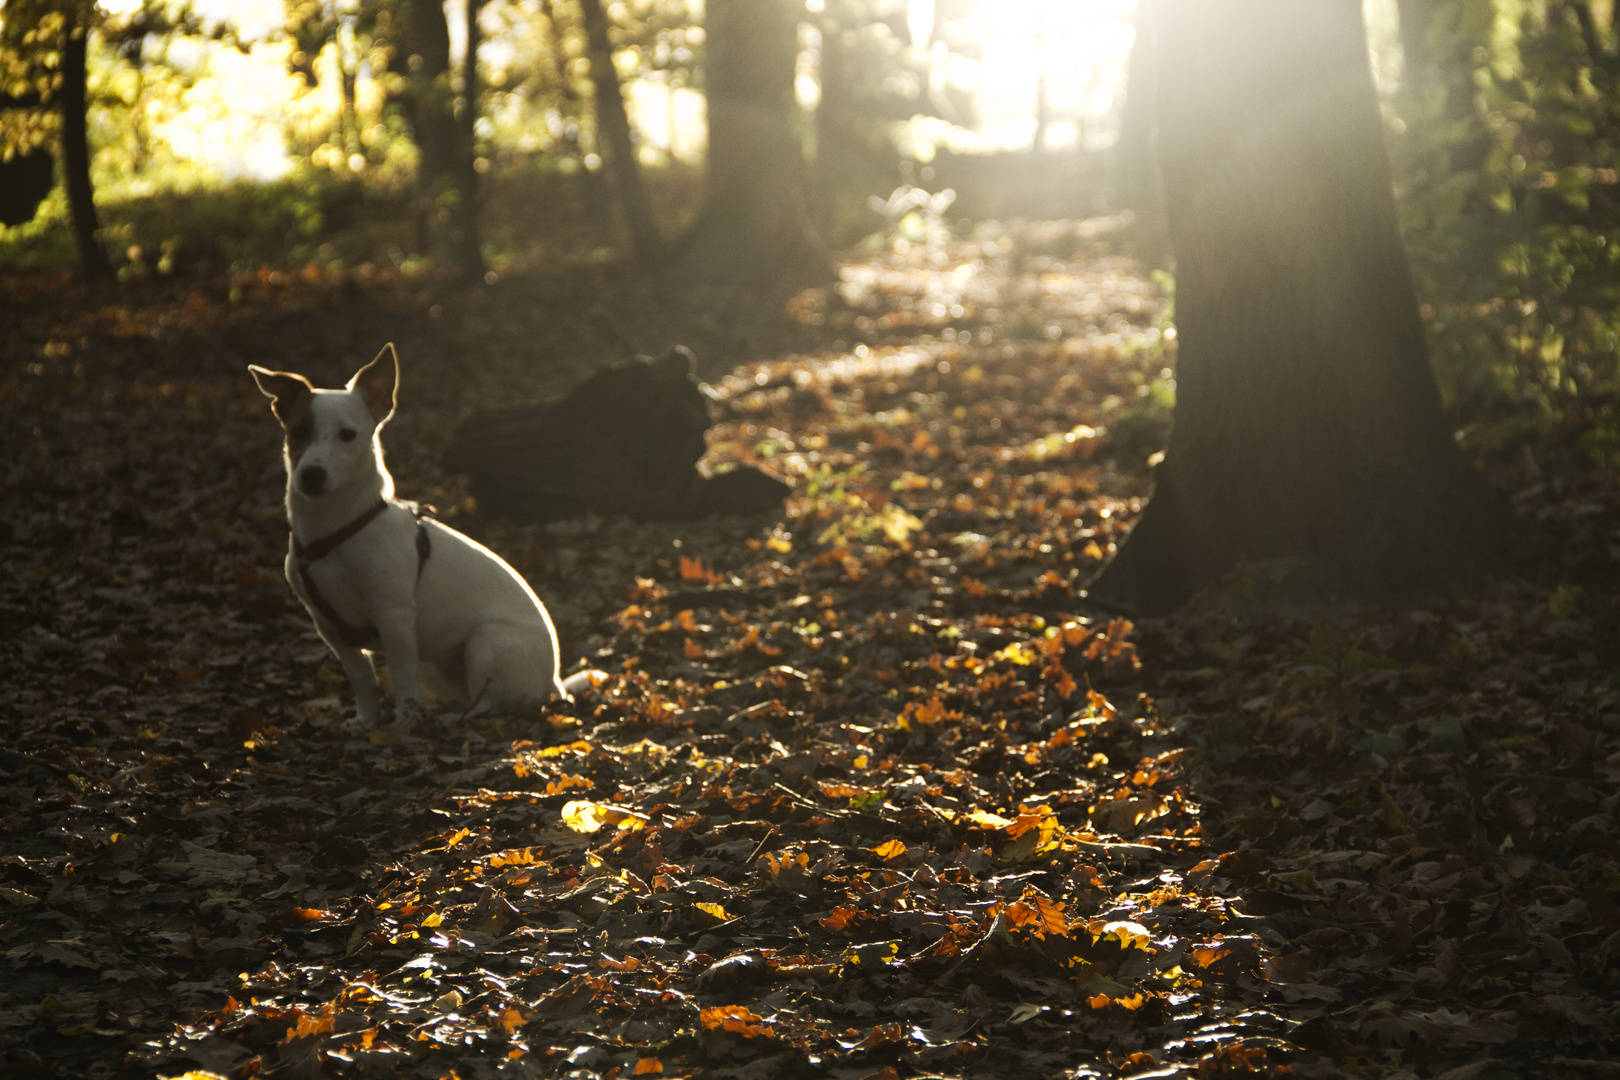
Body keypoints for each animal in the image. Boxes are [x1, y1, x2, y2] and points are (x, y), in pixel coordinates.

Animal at [249, 344, 586, 735]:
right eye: (299, 431)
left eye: (348, 435)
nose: (311, 475)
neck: (336, 529)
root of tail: (553, 682)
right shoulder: (330, 628)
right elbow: (362, 680)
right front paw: (366, 720)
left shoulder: (394, 617)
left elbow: (402, 678)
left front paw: (404, 724)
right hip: (436, 663)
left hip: (485, 642)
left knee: (489, 702)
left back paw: (456, 718)